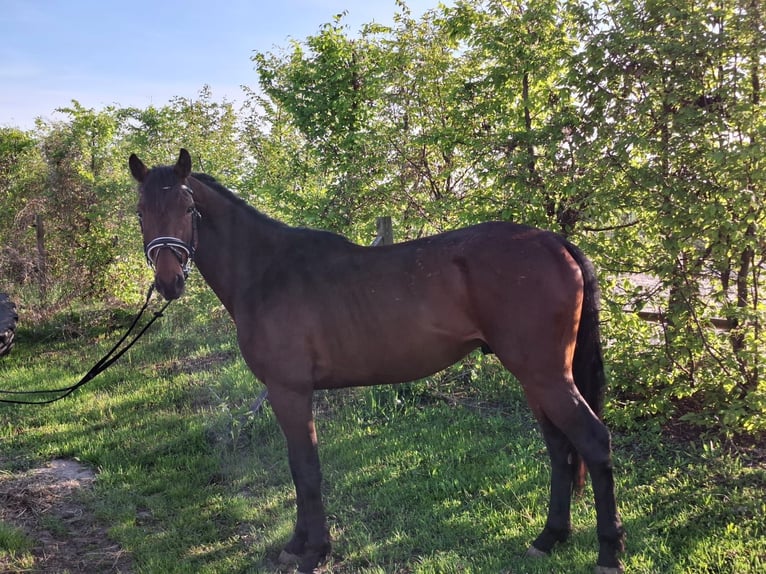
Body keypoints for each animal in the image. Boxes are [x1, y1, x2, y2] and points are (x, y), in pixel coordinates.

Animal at [129, 149, 625, 574]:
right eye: (140, 211)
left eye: (187, 208)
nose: (169, 282)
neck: (266, 271)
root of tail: (554, 242)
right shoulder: (284, 394)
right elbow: (297, 467)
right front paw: (297, 545)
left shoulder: (291, 392)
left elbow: (306, 469)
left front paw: (315, 550)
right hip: (536, 378)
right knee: (559, 447)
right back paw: (549, 538)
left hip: (545, 376)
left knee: (593, 442)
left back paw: (609, 553)